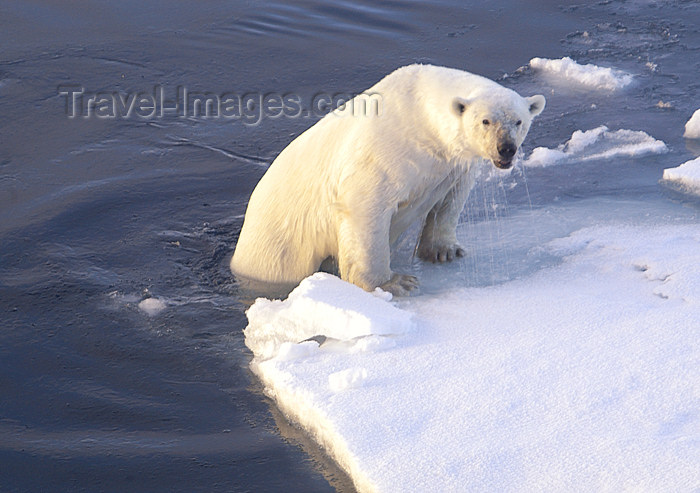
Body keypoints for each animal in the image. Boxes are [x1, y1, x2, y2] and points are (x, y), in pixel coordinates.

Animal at [232, 65, 544, 296]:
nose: (506, 149)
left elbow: (450, 199)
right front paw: (394, 283)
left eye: (518, 121)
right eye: (486, 121)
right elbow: (366, 207)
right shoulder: (384, 151)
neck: (420, 114)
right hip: (278, 243)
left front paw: (445, 251)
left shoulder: (451, 165)